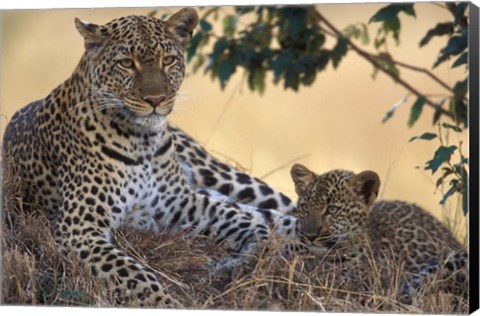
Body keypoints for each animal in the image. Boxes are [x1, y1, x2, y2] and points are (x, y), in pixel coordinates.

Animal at [1, 8, 296, 308]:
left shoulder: (182, 202)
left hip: (224, 177)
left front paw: (257, 248)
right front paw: (167, 303)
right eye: (126, 64)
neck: (142, 141)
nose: (156, 99)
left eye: (168, 60)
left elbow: (239, 221)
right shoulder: (79, 228)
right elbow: (133, 273)